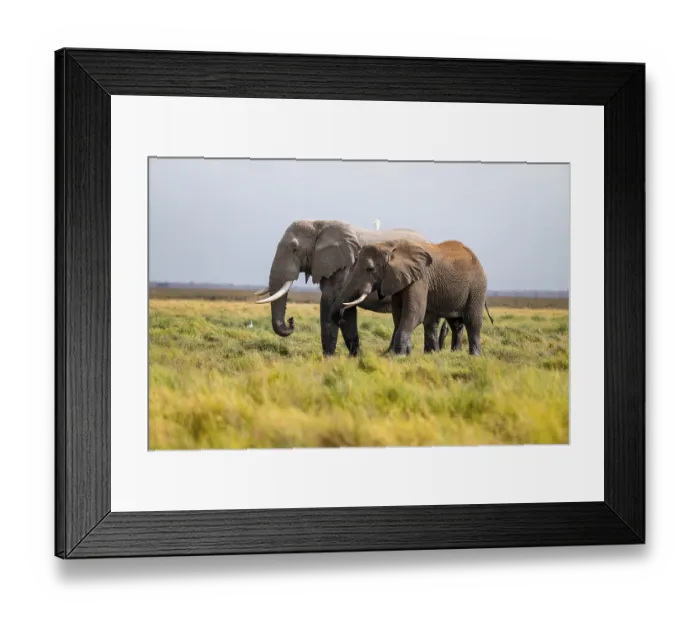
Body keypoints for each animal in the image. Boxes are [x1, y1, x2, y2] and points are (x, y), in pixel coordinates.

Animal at [254, 219, 461, 356]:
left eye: (294, 248)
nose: (291, 321)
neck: (320, 224)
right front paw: (354, 357)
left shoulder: (346, 267)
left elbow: (330, 302)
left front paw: (329, 358)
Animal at [330, 238, 494, 356]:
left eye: (370, 269)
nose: (340, 315)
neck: (390, 245)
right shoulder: (398, 279)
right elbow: (399, 315)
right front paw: (401, 354)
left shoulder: (420, 279)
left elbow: (413, 313)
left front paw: (400, 355)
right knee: (448, 323)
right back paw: (442, 354)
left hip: (477, 287)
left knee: (472, 321)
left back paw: (474, 356)